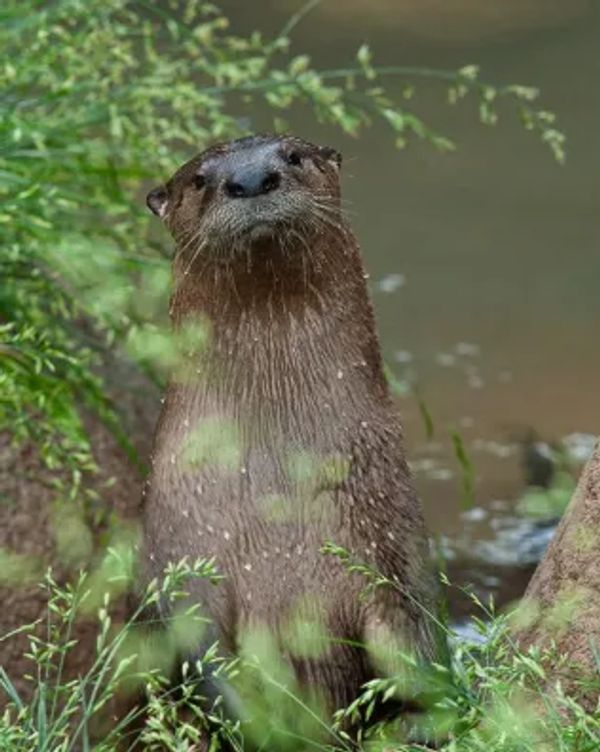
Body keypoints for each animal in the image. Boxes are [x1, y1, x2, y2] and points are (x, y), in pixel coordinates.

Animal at [138, 134, 442, 740]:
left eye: (294, 156)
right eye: (200, 179)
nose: (252, 179)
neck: (276, 487)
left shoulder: (390, 537)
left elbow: (412, 638)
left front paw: (423, 719)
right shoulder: (182, 546)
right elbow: (200, 653)